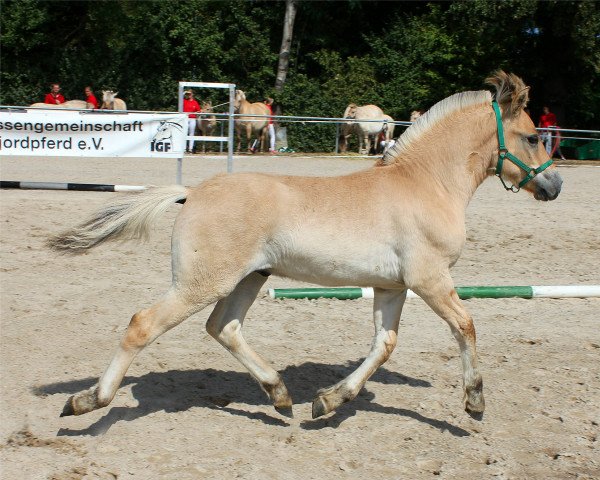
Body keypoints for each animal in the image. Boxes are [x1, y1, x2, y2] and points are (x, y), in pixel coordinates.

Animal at [48, 70, 564, 420]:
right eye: (533, 137)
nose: (555, 185)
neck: (426, 184)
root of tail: (192, 193)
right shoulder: (430, 278)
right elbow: (465, 325)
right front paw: (475, 401)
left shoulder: (393, 286)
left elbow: (384, 344)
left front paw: (330, 401)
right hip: (201, 283)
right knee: (143, 325)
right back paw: (88, 401)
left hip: (249, 278)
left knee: (223, 327)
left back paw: (280, 395)